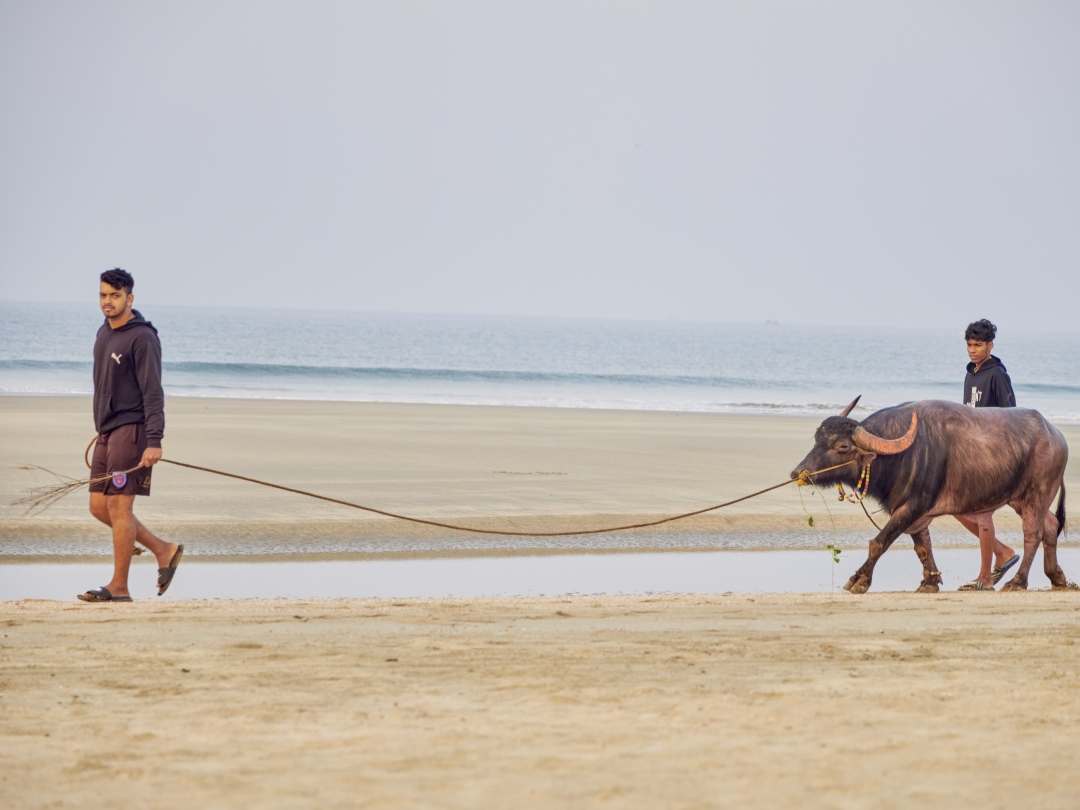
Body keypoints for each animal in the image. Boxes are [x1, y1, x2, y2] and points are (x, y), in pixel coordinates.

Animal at [790, 397, 1071, 594]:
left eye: (843, 446)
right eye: (817, 438)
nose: (797, 472)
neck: (900, 456)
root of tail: (1057, 436)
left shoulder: (913, 506)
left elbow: (880, 542)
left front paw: (859, 580)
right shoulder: (912, 512)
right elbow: (922, 547)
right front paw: (930, 582)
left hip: (1038, 492)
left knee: (1032, 534)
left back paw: (1017, 582)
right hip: (1019, 498)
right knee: (1050, 525)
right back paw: (1056, 577)